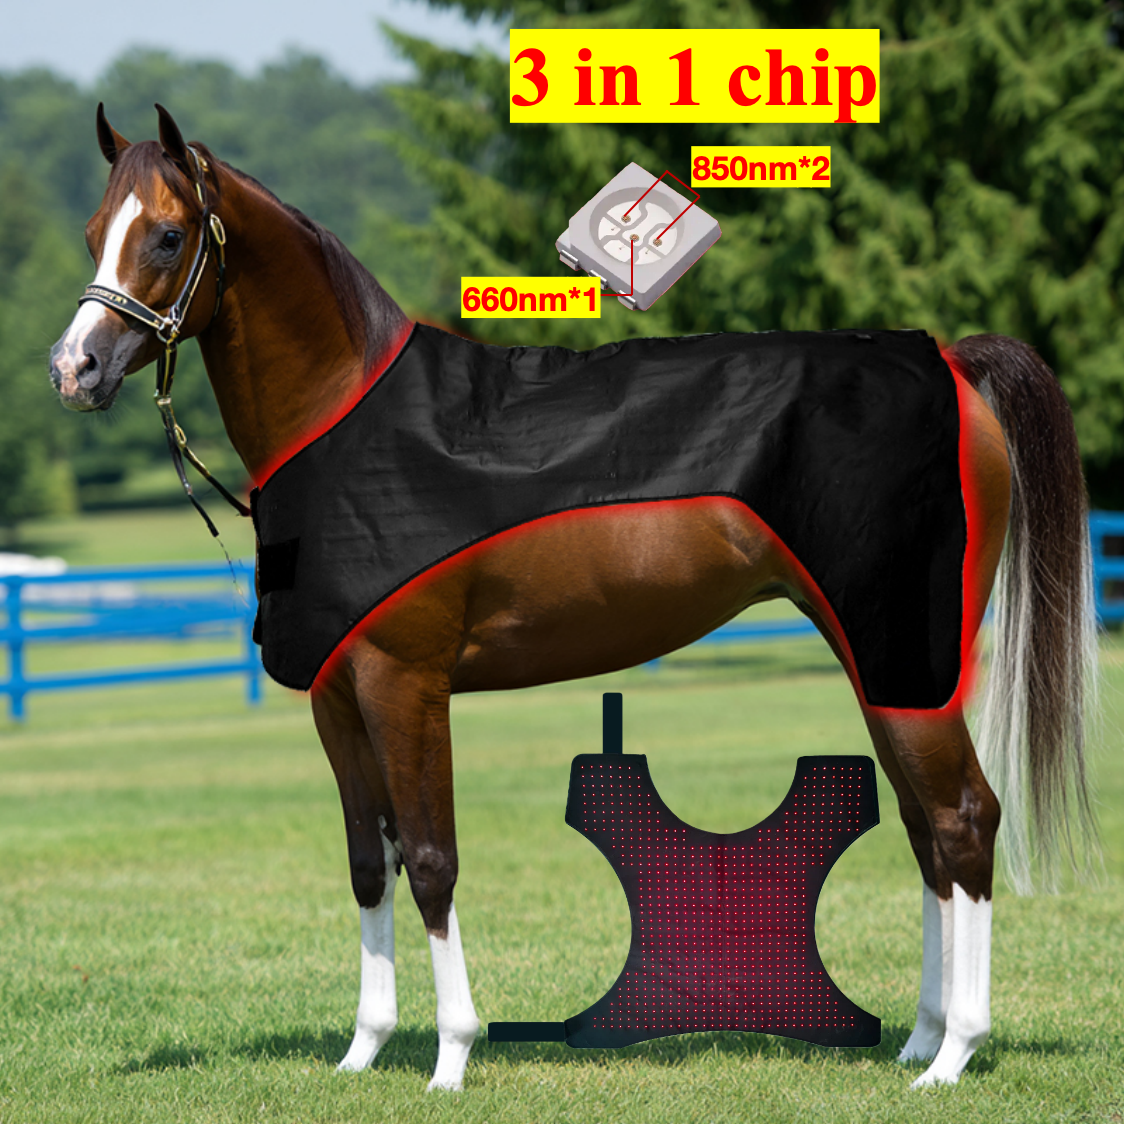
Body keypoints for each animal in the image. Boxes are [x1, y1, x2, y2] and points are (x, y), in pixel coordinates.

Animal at [48, 105, 1094, 1092]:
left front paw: (451, 1058)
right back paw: (918, 1041)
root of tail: (948, 362)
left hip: (906, 659)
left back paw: (954, 1054)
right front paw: (362, 1051)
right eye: (95, 229)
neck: (351, 421)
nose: (74, 370)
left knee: (964, 820)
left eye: (168, 236)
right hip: (880, 662)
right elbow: (368, 864)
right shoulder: (339, 701)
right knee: (926, 831)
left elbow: (432, 858)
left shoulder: (406, 686)